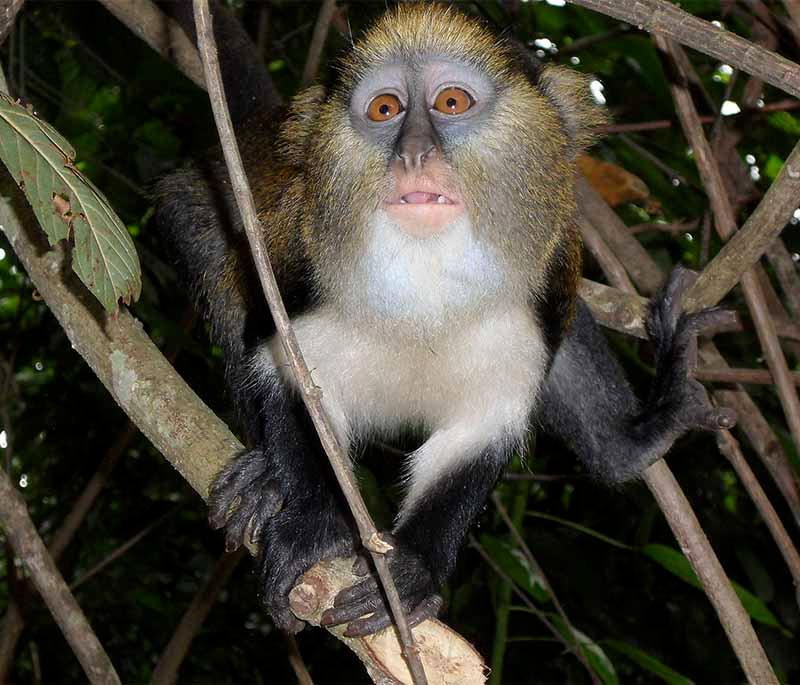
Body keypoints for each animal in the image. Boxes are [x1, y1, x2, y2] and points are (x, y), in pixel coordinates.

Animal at [153, 2, 736, 640]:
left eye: (451, 103)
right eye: (385, 110)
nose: (412, 154)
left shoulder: (533, 302)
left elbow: (480, 430)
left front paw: (415, 569)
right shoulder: (300, 275)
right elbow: (290, 377)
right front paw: (311, 524)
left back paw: (632, 440)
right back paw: (263, 476)